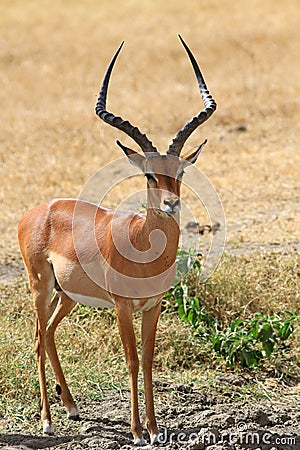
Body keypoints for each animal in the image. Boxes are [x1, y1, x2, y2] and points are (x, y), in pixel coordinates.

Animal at [18, 36, 216, 446]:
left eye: (180, 172)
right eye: (149, 175)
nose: (171, 204)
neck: (142, 246)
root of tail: (35, 212)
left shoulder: (153, 306)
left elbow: (149, 360)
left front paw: (155, 429)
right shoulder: (124, 307)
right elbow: (131, 360)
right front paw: (137, 432)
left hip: (67, 295)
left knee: (50, 334)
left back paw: (72, 407)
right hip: (40, 287)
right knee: (38, 339)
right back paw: (47, 421)